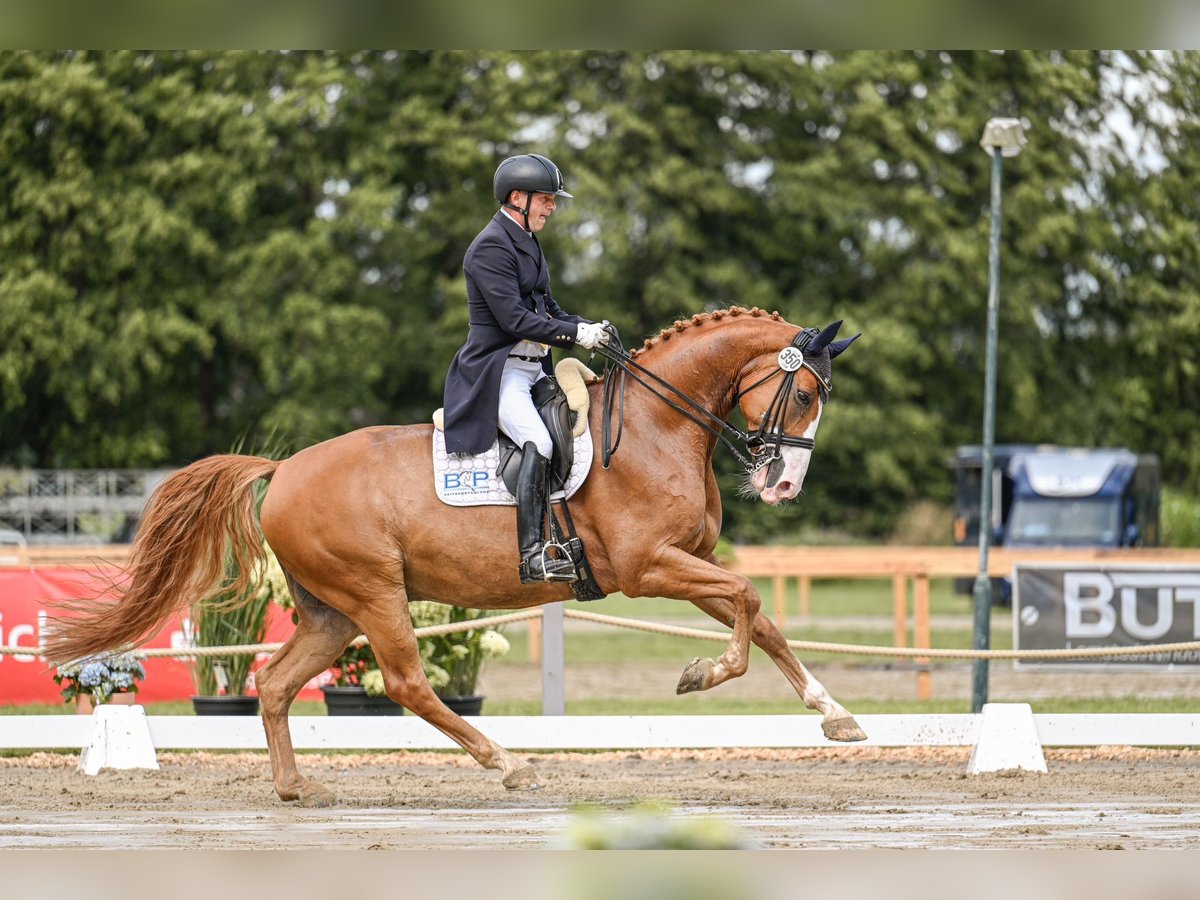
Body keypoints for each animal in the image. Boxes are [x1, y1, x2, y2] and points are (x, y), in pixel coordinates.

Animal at [46, 307, 868, 806]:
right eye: (803, 397)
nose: (783, 484)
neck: (661, 426)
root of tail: (282, 470)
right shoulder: (649, 568)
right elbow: (751, 602)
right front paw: (702, 674)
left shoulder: (686, 563)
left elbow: (759, 617)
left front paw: (837, 718)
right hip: (374, 593)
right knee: (408, 683)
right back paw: (508, 762)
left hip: (332, 614)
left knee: (276, 684)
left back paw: (297, 789)